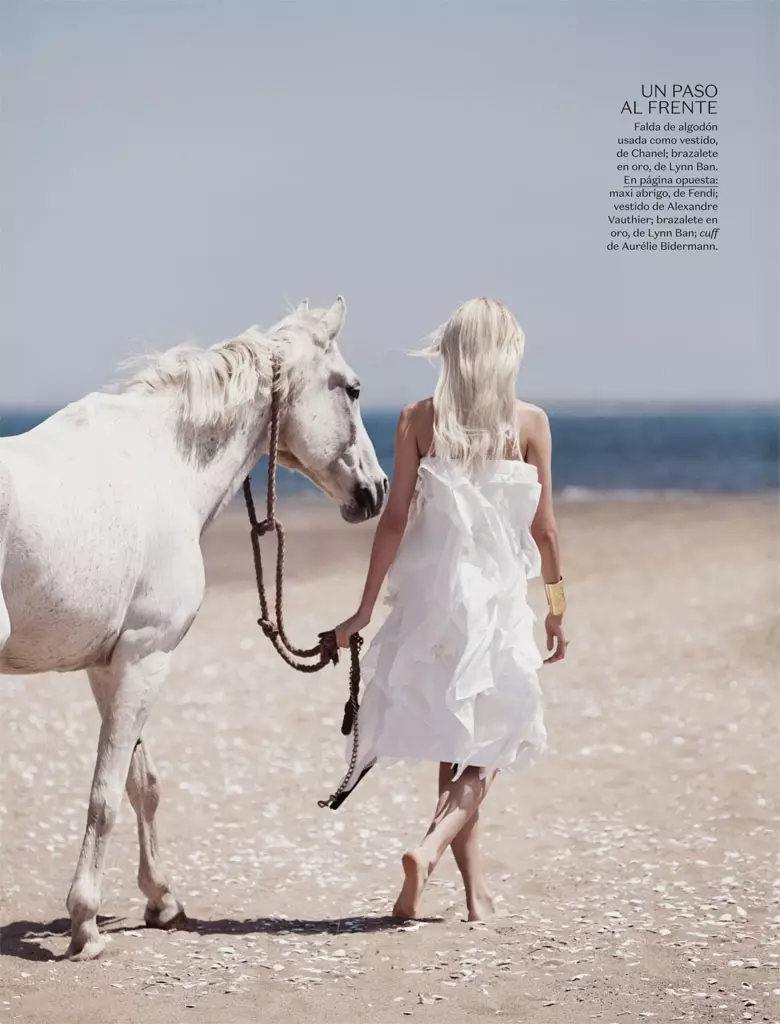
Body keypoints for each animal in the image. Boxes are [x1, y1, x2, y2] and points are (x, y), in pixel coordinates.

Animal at [0, 296, 386, 958]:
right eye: (353, 389)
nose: (377, 489)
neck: (159, 466)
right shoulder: (147, 656)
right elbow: (106, 796)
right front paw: (85, 924)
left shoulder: (111, 664)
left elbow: (140, 784)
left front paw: (161, 899)